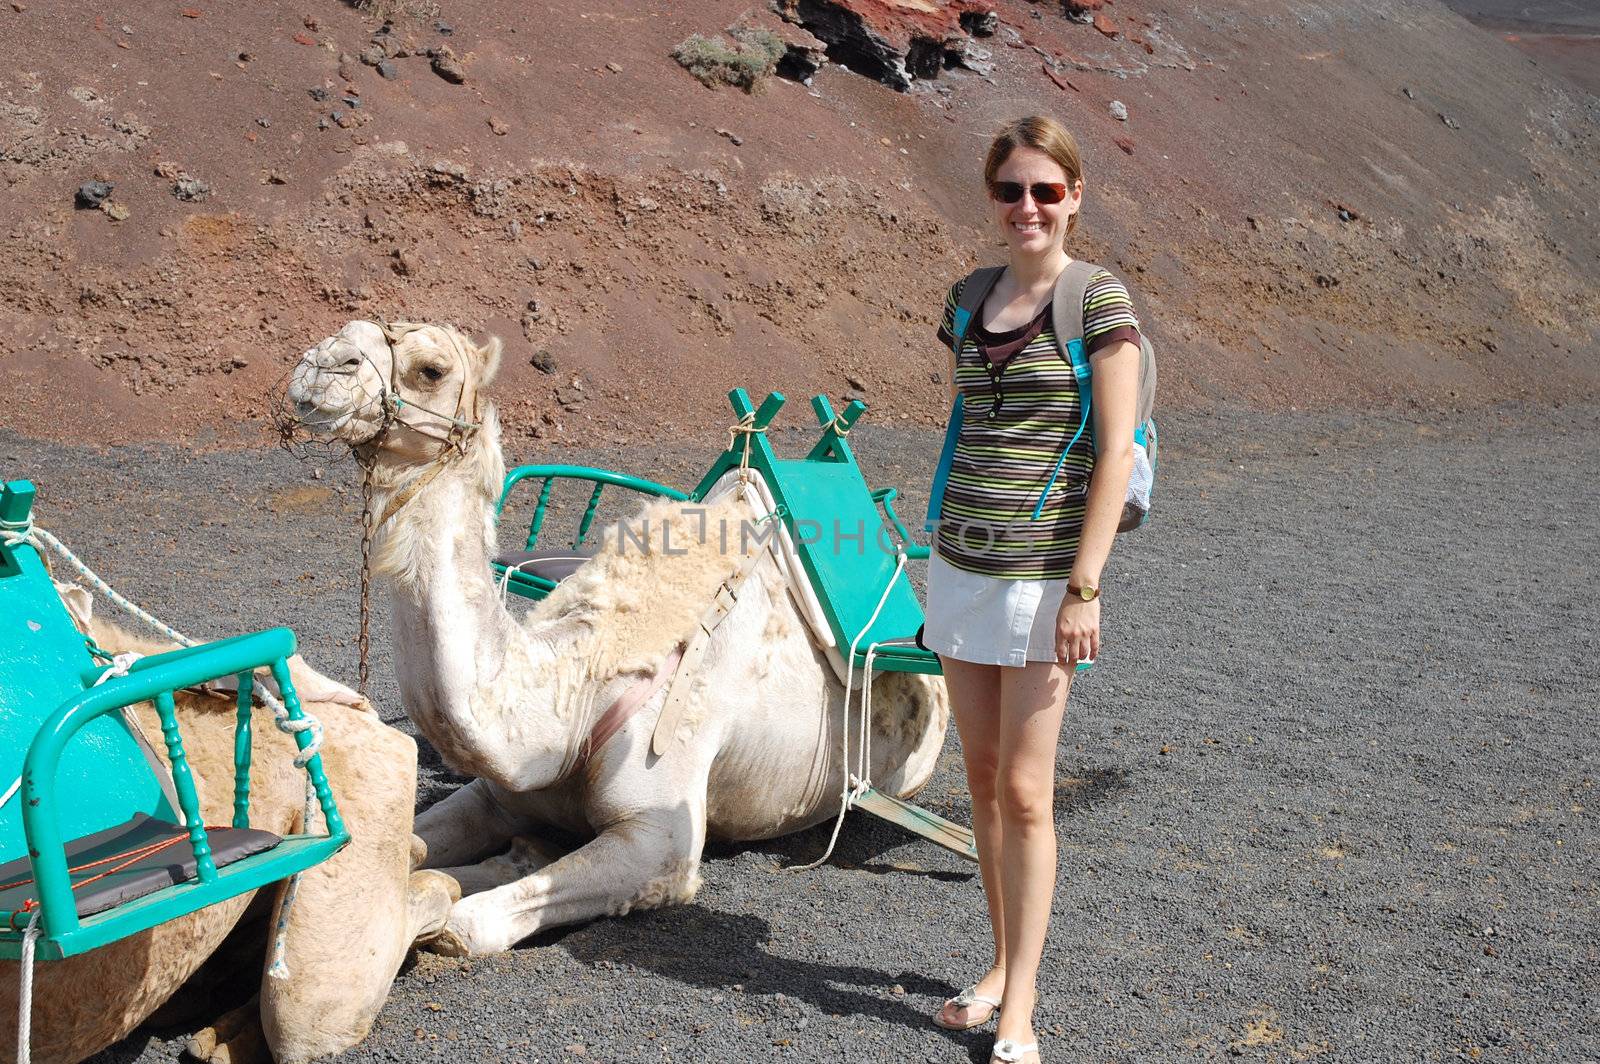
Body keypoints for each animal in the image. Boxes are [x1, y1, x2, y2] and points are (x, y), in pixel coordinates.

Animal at [284, 316, 947, 953]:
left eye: (431, 369)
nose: (322, 361)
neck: (576, 690)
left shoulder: (661, 839)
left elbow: (461, 925)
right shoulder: (494, 795)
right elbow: (410, 845)